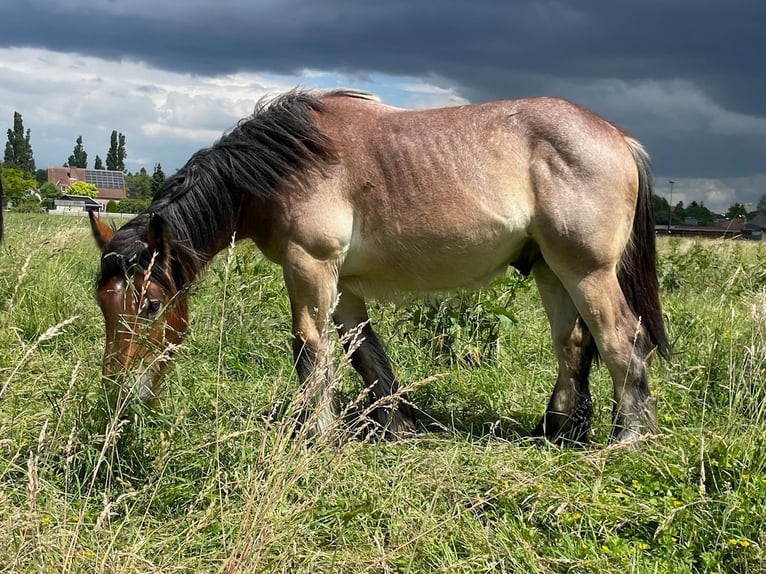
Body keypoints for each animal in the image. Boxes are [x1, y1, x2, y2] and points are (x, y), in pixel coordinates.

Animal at [89, 89, 669, 445]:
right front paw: (394, 426)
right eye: (102, 303)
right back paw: (558, 430)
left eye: (151, 305)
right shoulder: (342, 283)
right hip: (552, 271)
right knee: (573, 344)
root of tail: (619, 139)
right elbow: (365, 355)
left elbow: (311, 348)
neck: (288, 163)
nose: (121, 395)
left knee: (621, 339)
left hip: (588, 271)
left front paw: (317, 434)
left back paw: (629, 438)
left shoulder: (310, 267)